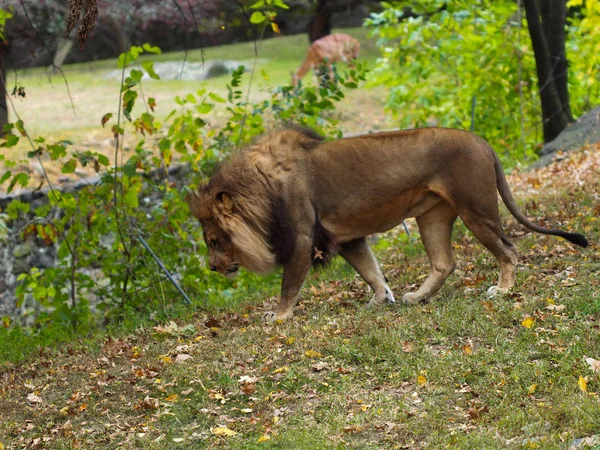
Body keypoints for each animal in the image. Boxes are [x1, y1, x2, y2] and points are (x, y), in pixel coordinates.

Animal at [190, 126, 588, 322]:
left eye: (214, 240)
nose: (211, 268)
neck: (259, 191)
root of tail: (484, 143)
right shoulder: (346, 238)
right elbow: (370, 270)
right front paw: (383, 299)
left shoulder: (302, 237)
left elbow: (289, 284)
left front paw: (279, 316)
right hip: (431, 216)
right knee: (444, 263)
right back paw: (417, 297)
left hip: (476, 208)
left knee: (508, 249)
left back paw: (502, 290)